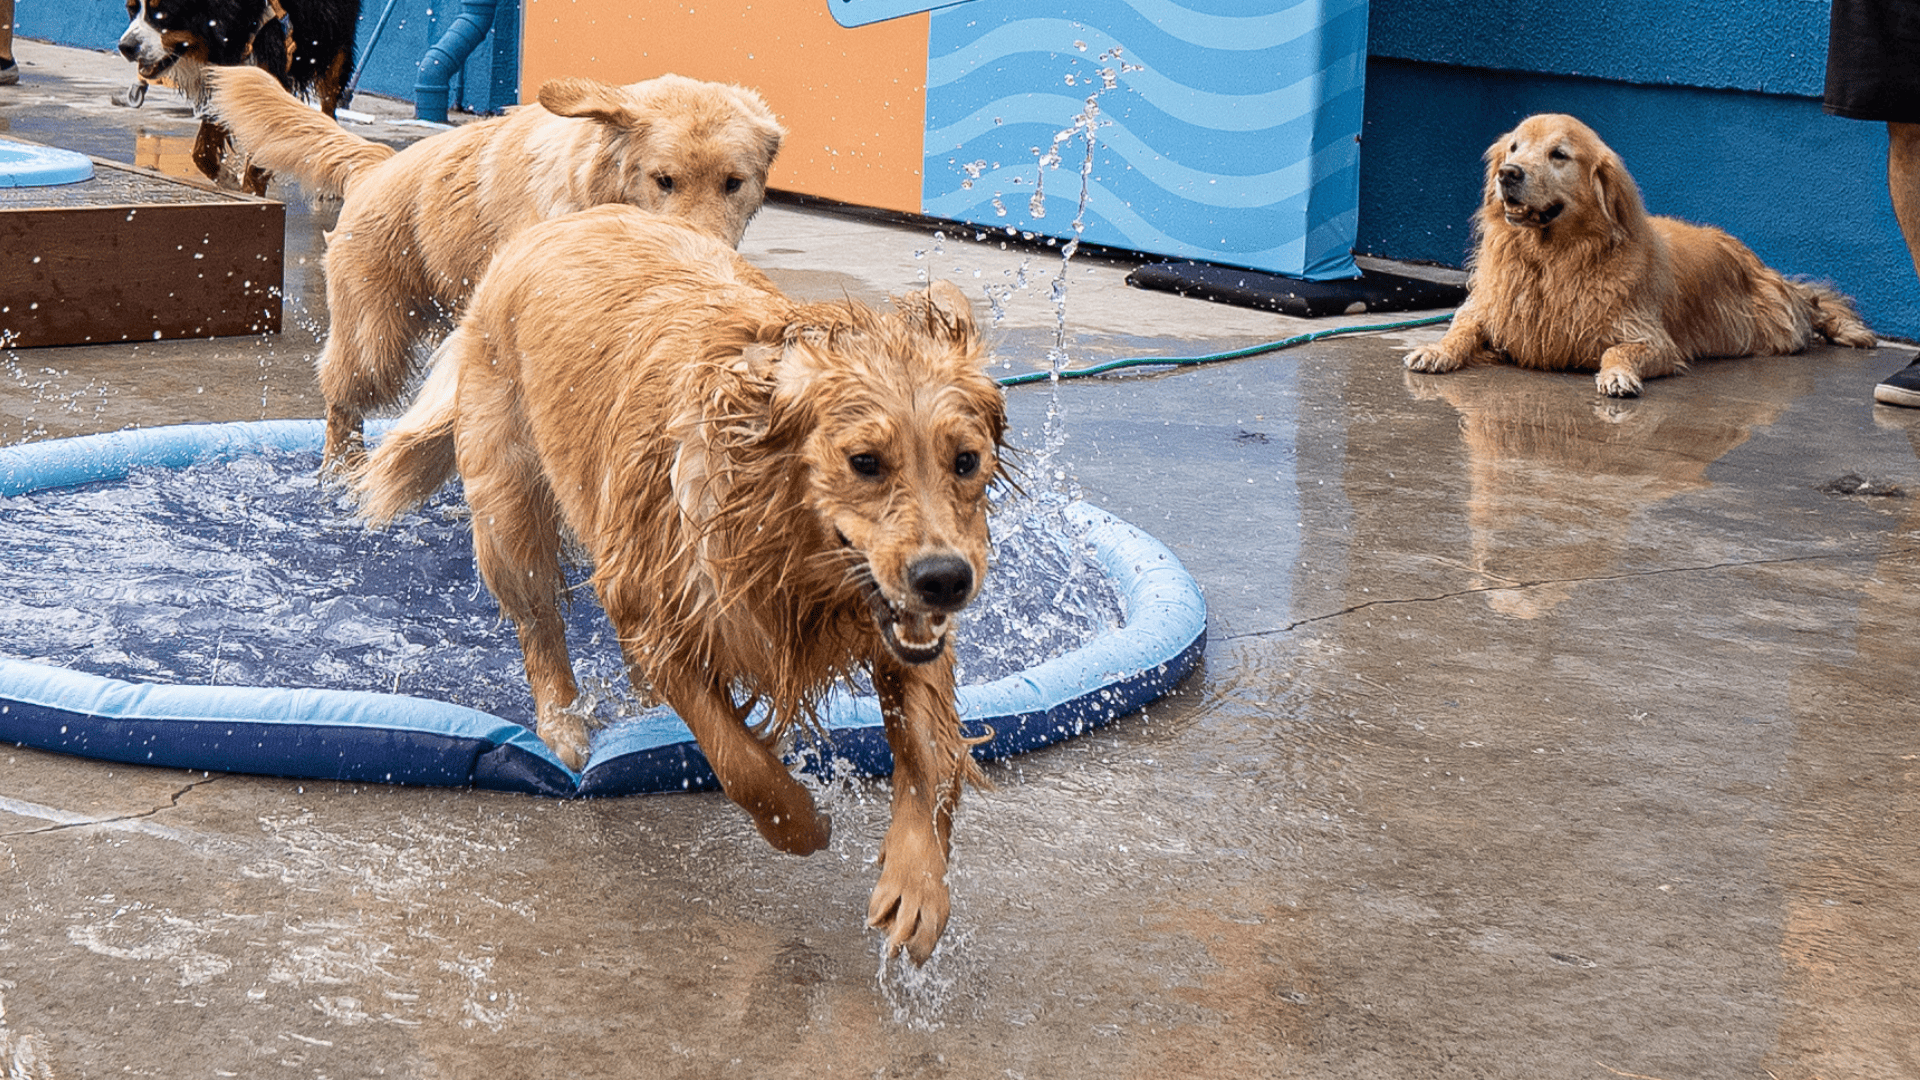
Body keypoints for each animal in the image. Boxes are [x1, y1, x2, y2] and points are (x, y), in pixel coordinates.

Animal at [116, 1, 360, 193]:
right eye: (131, 8)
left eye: (162, 13)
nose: (125, 47)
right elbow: (202, 151)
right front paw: (228, 178)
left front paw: (252, 195)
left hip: (332, 40)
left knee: (329, 103)